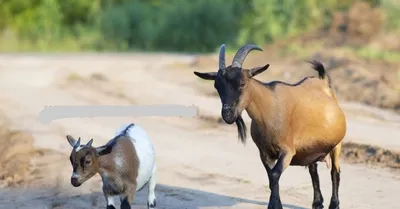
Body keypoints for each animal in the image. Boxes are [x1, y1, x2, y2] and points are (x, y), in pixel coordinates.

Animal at [192, 44, 346, 209]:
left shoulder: (287, 151)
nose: (227, 114)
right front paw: (275, 204)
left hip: (337, 145)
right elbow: (271, 178)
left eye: (242, 83)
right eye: (217, 86)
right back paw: (317, 203)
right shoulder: (264, 153)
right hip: (311, 149)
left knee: (335, 172)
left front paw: (274, 205)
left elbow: (274, 175)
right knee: (313, 170)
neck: (269, 109)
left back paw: (334, 204)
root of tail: (324, 82)